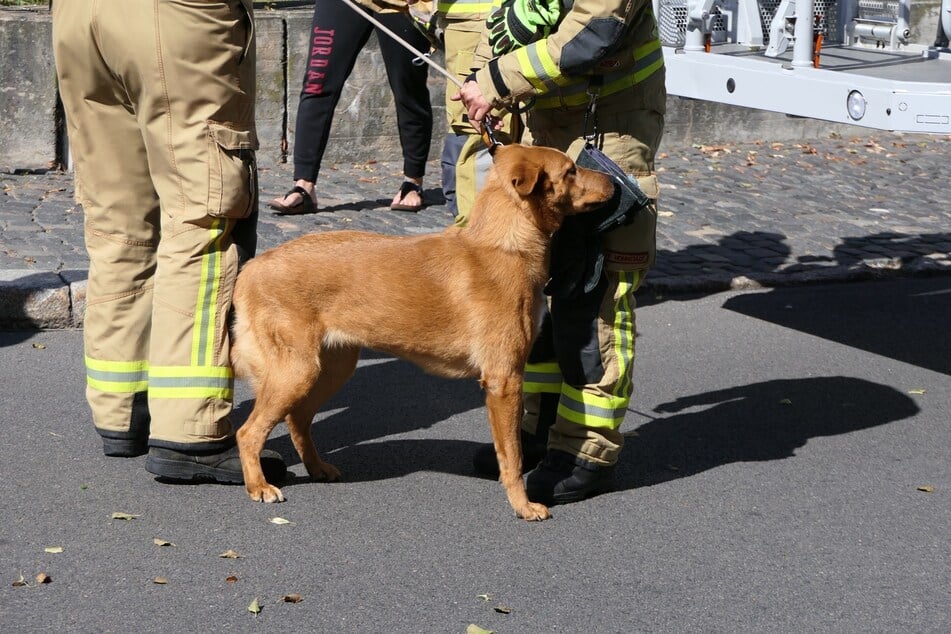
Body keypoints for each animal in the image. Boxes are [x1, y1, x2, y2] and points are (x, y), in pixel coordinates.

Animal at [231, 143, 616, 520]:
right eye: (571, 171)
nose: (613, 182)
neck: (504, 244)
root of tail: (253, 266)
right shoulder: (504, 380)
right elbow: (513, 458)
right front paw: (522, 505)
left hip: (330, 368)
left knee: (297, 419)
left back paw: (317, 468)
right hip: (296, 371)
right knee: (248, 432)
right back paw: (258, 486)